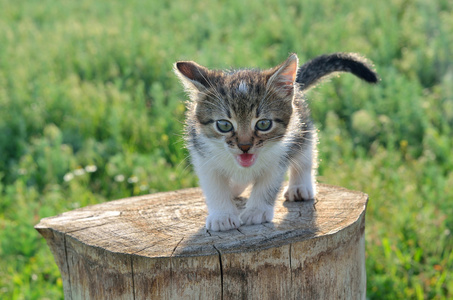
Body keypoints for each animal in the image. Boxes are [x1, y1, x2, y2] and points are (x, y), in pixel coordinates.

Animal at [175, 52, 376, 231]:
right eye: (224, 125)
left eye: (264, 124)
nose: (245, 146)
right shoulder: (203, 155)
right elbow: (214, 187)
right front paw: (222, 216)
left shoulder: (279, 156)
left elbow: (268, 184)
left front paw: (256, 212)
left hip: (301, 125)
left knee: (307, 151)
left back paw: (300, 186)